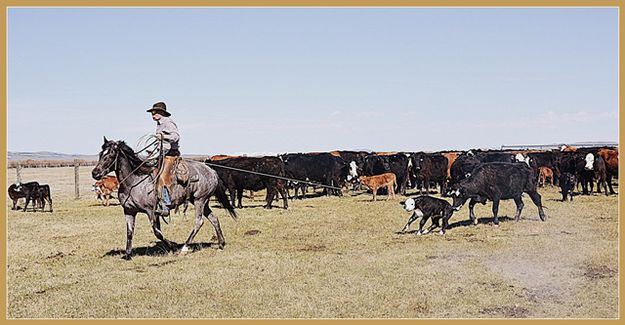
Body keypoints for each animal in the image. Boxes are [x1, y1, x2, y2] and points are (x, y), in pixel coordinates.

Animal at [92, 136, 236, 258]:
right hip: (201, 201)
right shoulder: (129, 211)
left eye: (110, 155)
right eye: (100, 154)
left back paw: (184, 247)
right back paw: (221, 244)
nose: (95, 173)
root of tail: (212, 171)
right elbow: (130, 232)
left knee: (199, 222)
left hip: (199, 200)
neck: (133, 182)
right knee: (214, 219)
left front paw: (172, 247)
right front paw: (127, 254)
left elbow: (157, 232)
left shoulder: (151, 211)